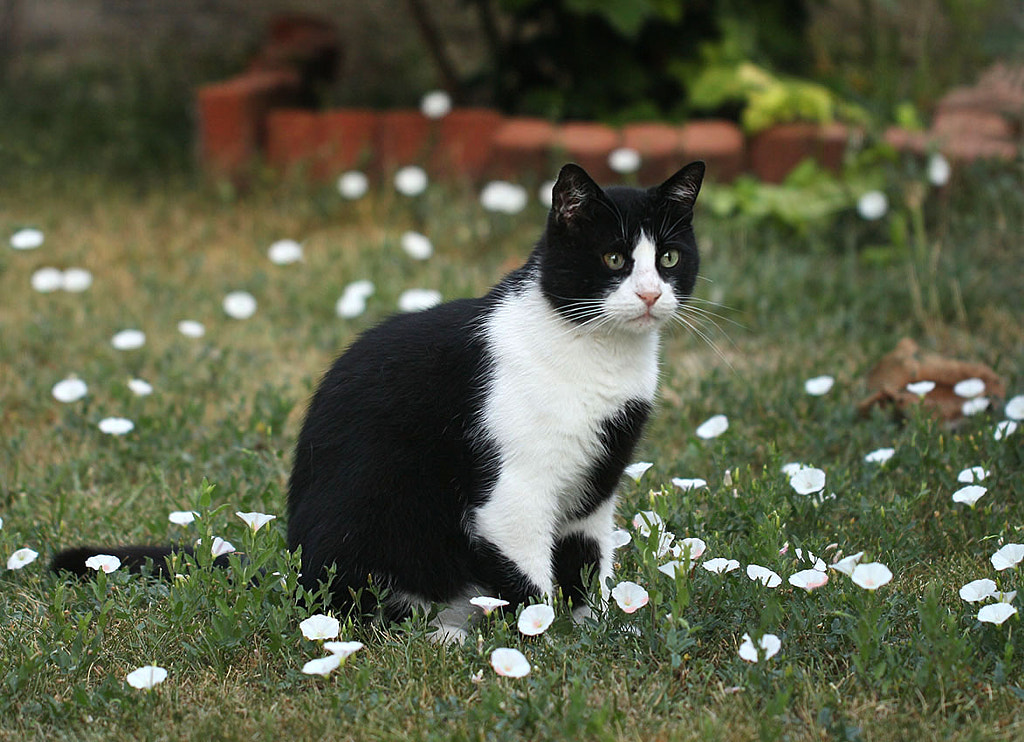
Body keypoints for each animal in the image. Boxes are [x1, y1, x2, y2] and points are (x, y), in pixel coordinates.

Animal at [53, 160, 705, 641]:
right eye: (614, 259)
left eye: (668, 258)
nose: (651, 294)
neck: (600, 357)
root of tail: (291, 563)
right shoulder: (513, 495)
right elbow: (531, 581)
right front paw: (545, 641)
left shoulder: (596, 484)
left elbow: (589, 565)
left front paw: (601, 631)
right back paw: (446, 632)